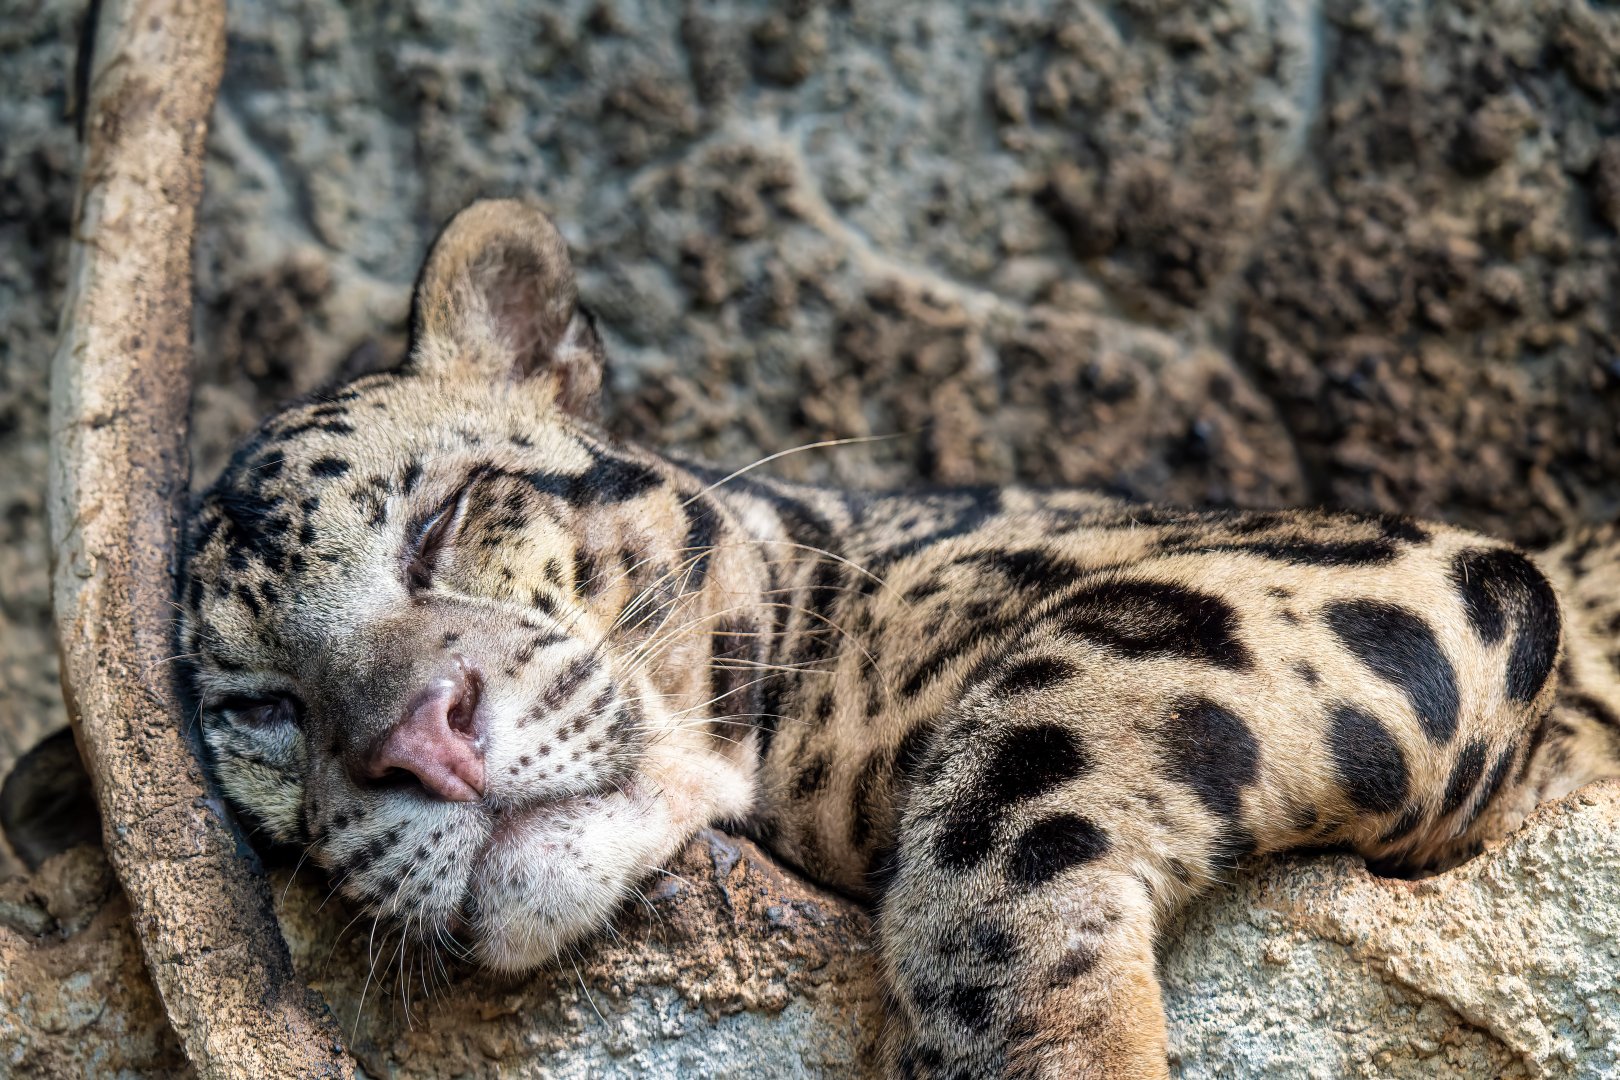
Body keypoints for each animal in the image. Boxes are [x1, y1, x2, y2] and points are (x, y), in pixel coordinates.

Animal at [178, 199, 1620, 1078]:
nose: (424, 739)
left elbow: (1014, 774)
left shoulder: (1344, 568)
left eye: (444, 516)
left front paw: (1048, 1058)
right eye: (258, 707)